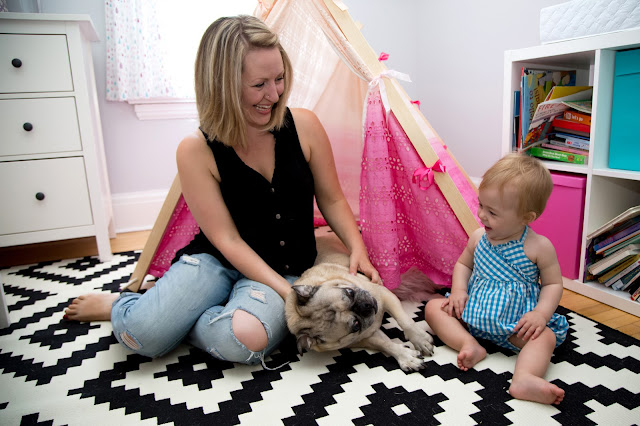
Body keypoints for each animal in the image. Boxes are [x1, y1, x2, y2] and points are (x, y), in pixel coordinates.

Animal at [285, 234, 435, 371]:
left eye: (349, 292)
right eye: (355, 325)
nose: (366, 306)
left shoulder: (385, 295)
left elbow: (405, 321)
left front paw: (420, 340)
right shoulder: (366, 336)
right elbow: (385, 344)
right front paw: (406, 356)